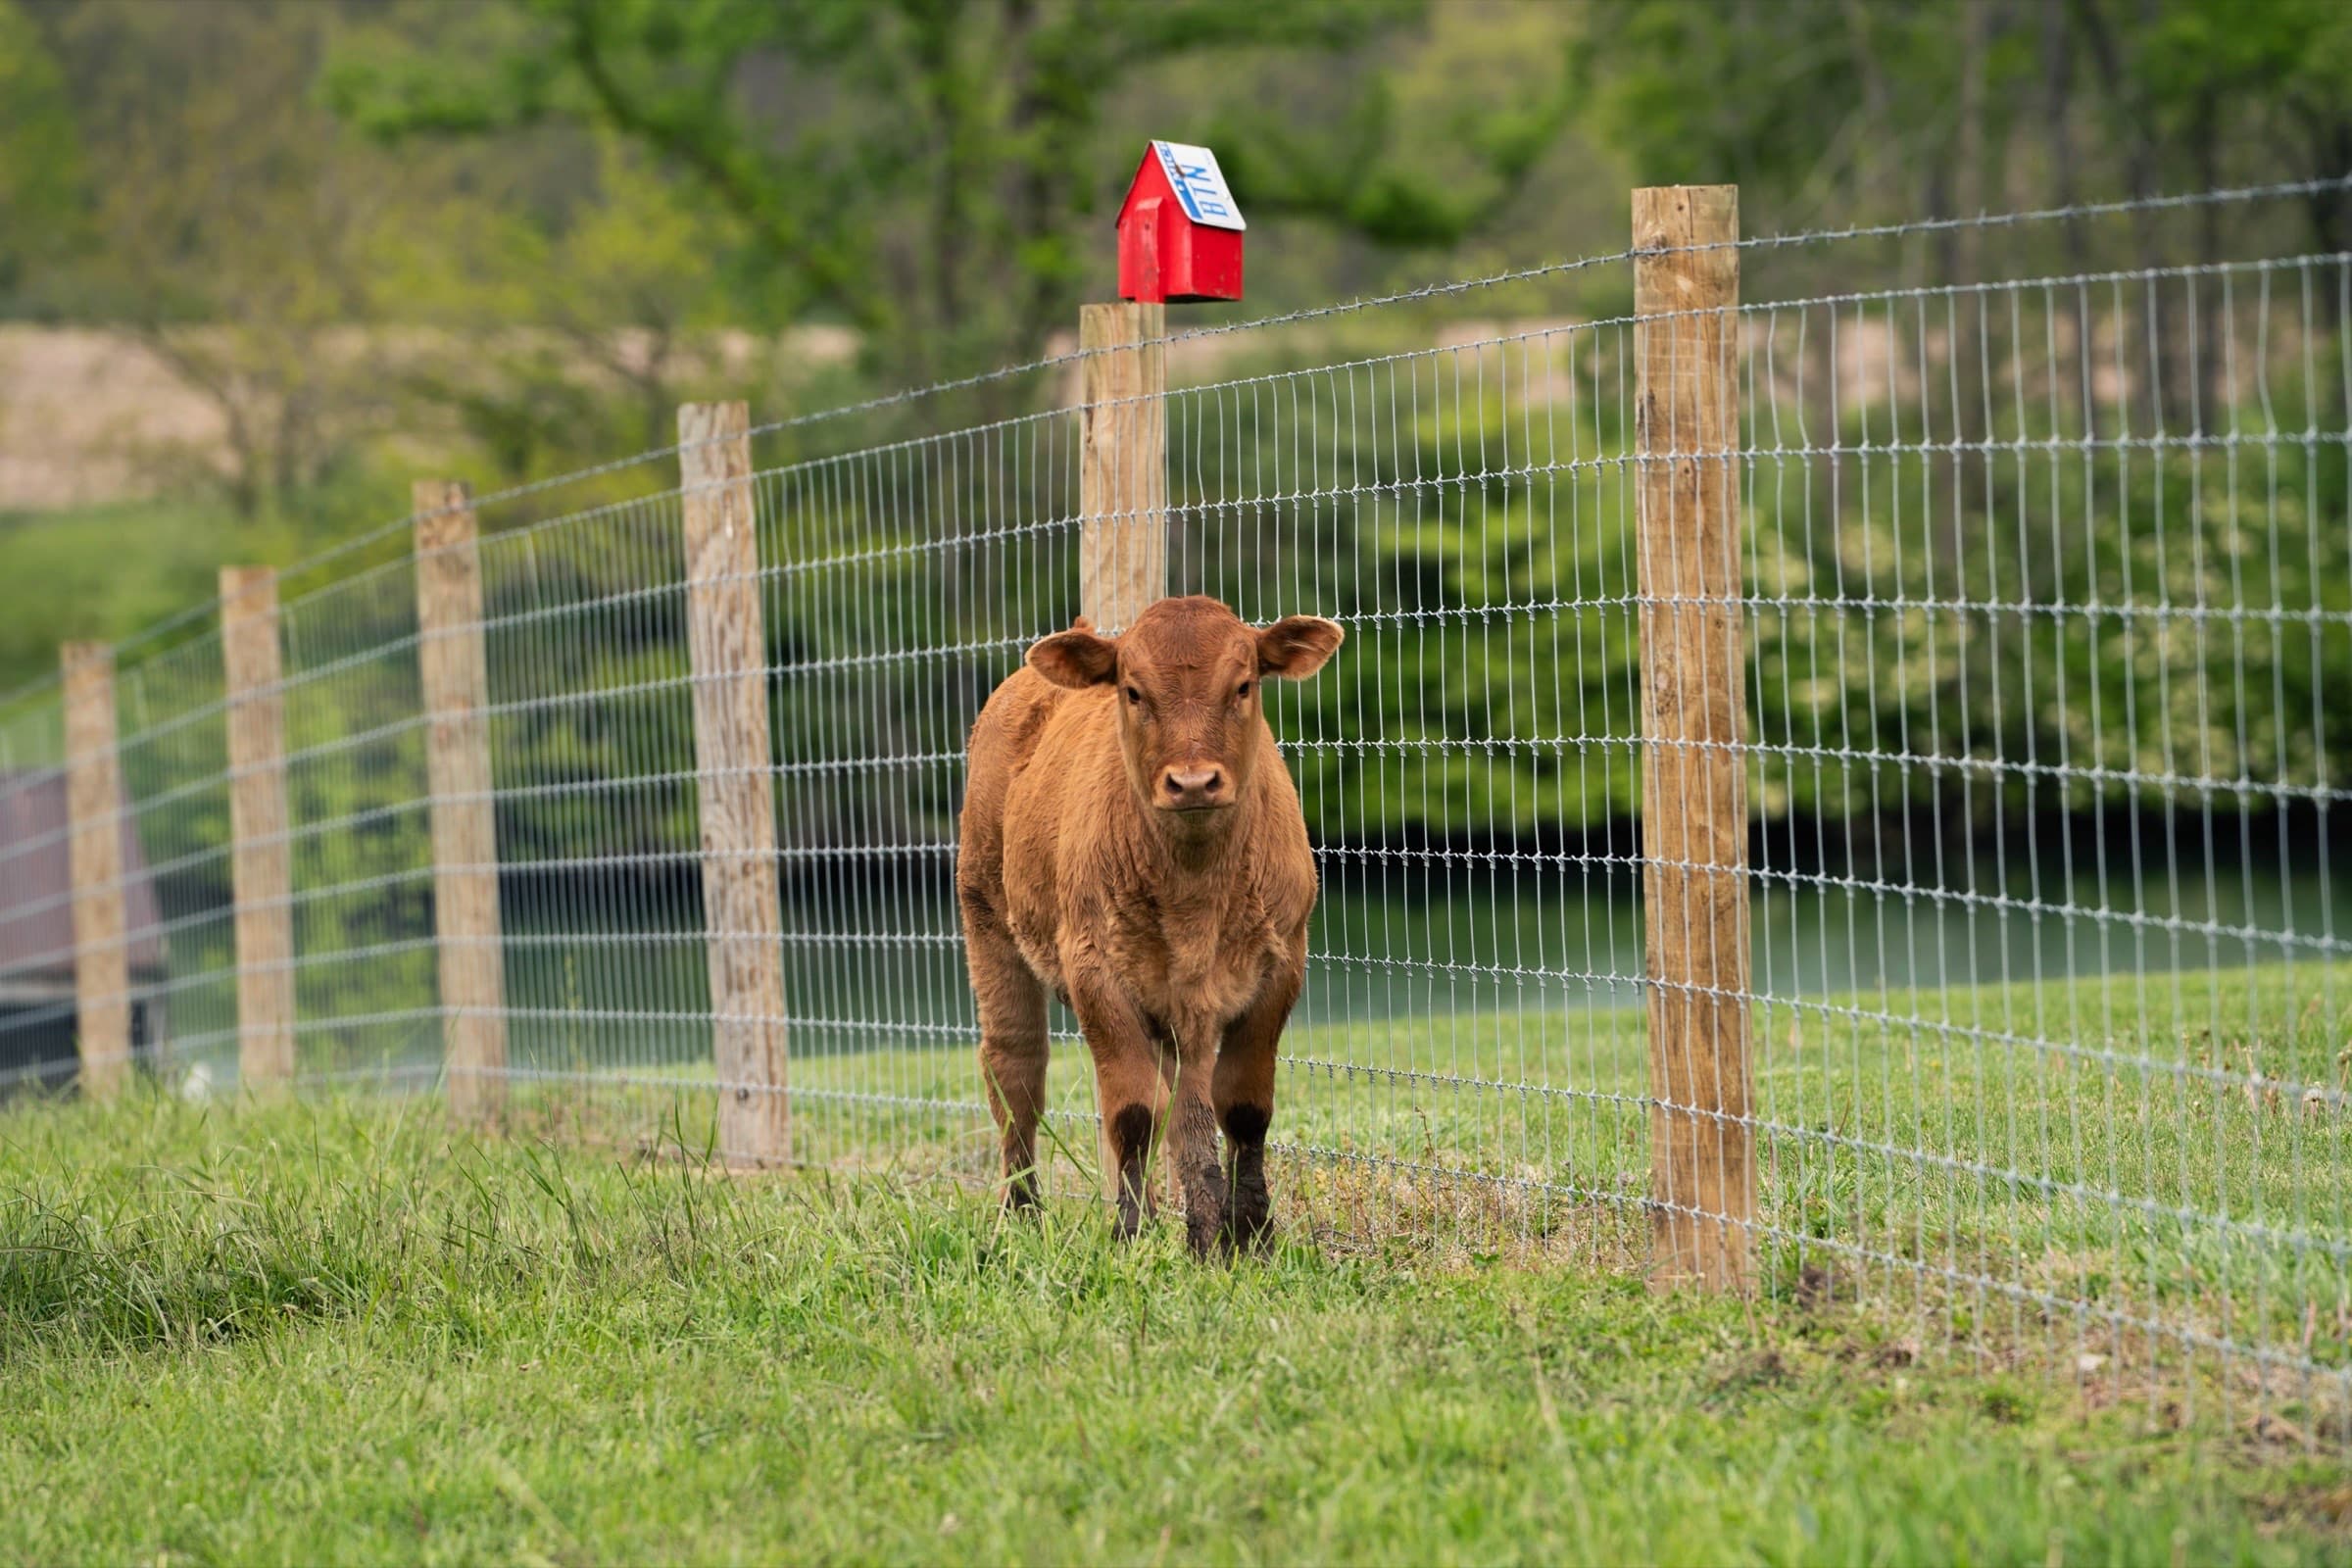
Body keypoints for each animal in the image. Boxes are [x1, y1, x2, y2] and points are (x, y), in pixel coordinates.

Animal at [956, 595, 1344, 1256]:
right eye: (1133, 691)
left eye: (1243, 685)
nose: (1192, 782)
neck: (1196, 893)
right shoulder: (1095, 969)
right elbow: (1134, 1112)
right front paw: (1131, 1235)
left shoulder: (1281, 966)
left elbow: (1239, 1108)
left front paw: (1245, 1237)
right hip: (985, 919)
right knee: (1017, 1075)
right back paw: (1023, 1217)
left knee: (1181, 1099)